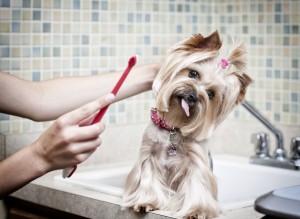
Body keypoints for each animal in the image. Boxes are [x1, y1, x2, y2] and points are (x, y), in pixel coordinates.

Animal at [122, 31, 253, 219]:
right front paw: (146, 202)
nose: (192, 96)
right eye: (193, 73)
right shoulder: (149, 155)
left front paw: (197, 211)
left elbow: (196, 185)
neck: (173, 126)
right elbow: (149, 180)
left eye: (210, 94)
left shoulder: (196, 161)